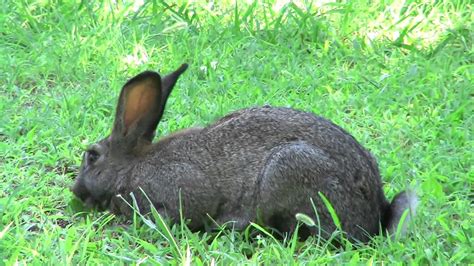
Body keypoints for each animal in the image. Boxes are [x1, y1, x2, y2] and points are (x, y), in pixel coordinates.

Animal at [71, 63, 418, 242]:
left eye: (92, 155)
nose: (76, 192)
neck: (132, 167)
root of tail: (375, 215)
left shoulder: (183, 187)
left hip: (287, 170)